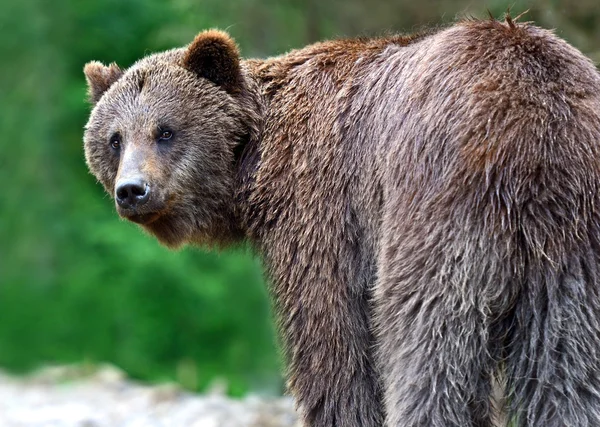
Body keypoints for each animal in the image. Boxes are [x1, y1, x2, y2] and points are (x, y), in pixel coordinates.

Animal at [82, 17, 600, 427]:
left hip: (438, 204)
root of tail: (531, 123)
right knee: (567, 365)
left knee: (427, 339)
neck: (255, 167)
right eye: (114, 138)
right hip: (571, 241)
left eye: (165, 131)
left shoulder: (322, 205)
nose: (132, 191)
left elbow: (331, 336)